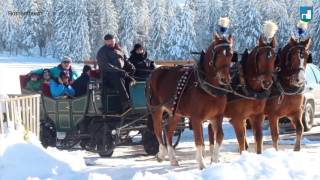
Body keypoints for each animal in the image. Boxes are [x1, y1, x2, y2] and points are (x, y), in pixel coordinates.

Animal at [146, 33, 235, 169]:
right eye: (218, 54)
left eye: (231, 54)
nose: (225, 79)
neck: (206, 86)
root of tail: (155, 71)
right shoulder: (196, 118)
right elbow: (199, 140)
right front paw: (201, 164)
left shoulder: (217, 116)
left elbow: (219, 136)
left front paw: (214, 161)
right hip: (156, 109)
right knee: (158, 129)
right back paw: (162, 154)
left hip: (176, 113)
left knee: (168, 130)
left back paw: (173, 159)